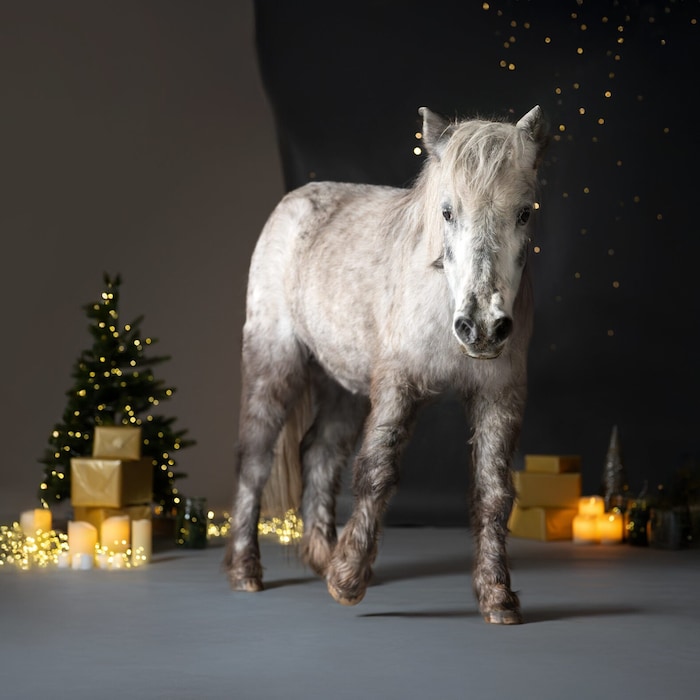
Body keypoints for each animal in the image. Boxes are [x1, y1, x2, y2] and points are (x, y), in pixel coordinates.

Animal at [224, 105, 549, 624]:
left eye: (524, 212)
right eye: (447, 211)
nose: (481, 326)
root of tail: (293, 203)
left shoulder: (499, 395)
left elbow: (494, 492)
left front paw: (498, 596)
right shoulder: (399, 383)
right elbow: (376, 470)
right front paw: (348, 581)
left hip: (343, 385)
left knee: (318, 451)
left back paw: (323, 555)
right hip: (274, 360)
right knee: (255, 458)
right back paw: (245, 571)